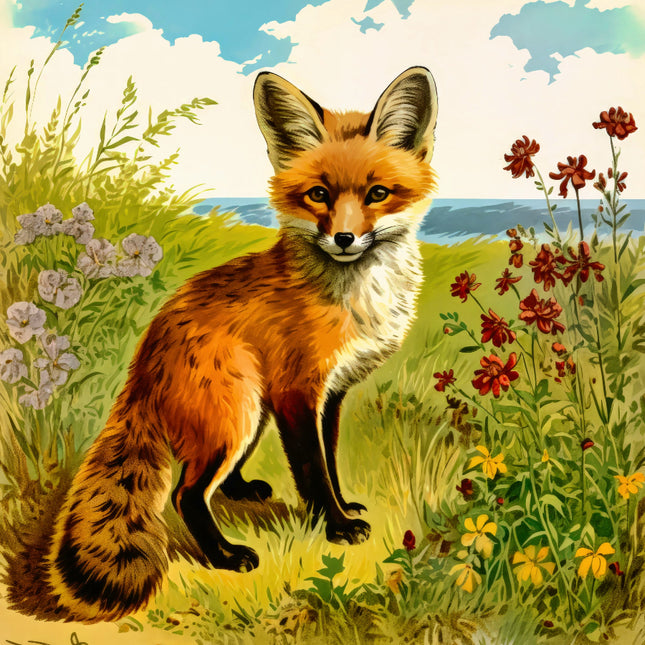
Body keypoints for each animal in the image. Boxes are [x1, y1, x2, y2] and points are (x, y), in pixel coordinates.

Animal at [46, 66, 438, 622]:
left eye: (378, 193)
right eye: (318, 195)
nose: (343, 239)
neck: (355, 300)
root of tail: (143, 360)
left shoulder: (331, 393)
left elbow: (331, 461)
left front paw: (344, 507)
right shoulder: (298, 392)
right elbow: (313, 471)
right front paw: (337, 527)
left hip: (251, 413)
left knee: (214, 481)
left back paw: (242, 490)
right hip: (237, 414)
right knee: (186, 494)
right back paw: (225, 556)